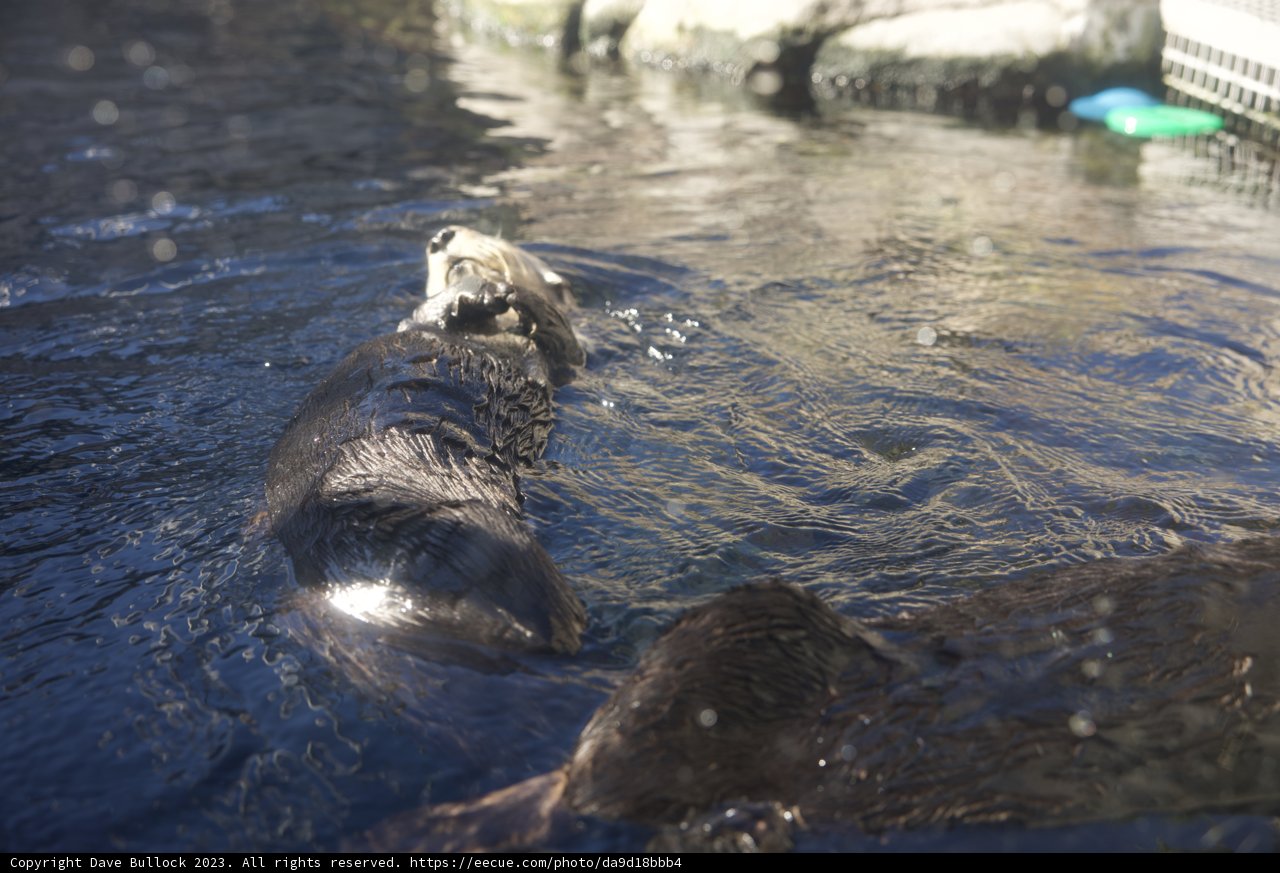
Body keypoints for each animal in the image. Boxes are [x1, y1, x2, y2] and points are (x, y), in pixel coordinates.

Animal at [266, 227, 587, 654]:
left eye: (499, 242)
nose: (444, 235)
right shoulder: (422, 321)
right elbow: (429, 311)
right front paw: (487, 291)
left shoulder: (566, 364)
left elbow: (565, 343)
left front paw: (513, 296)